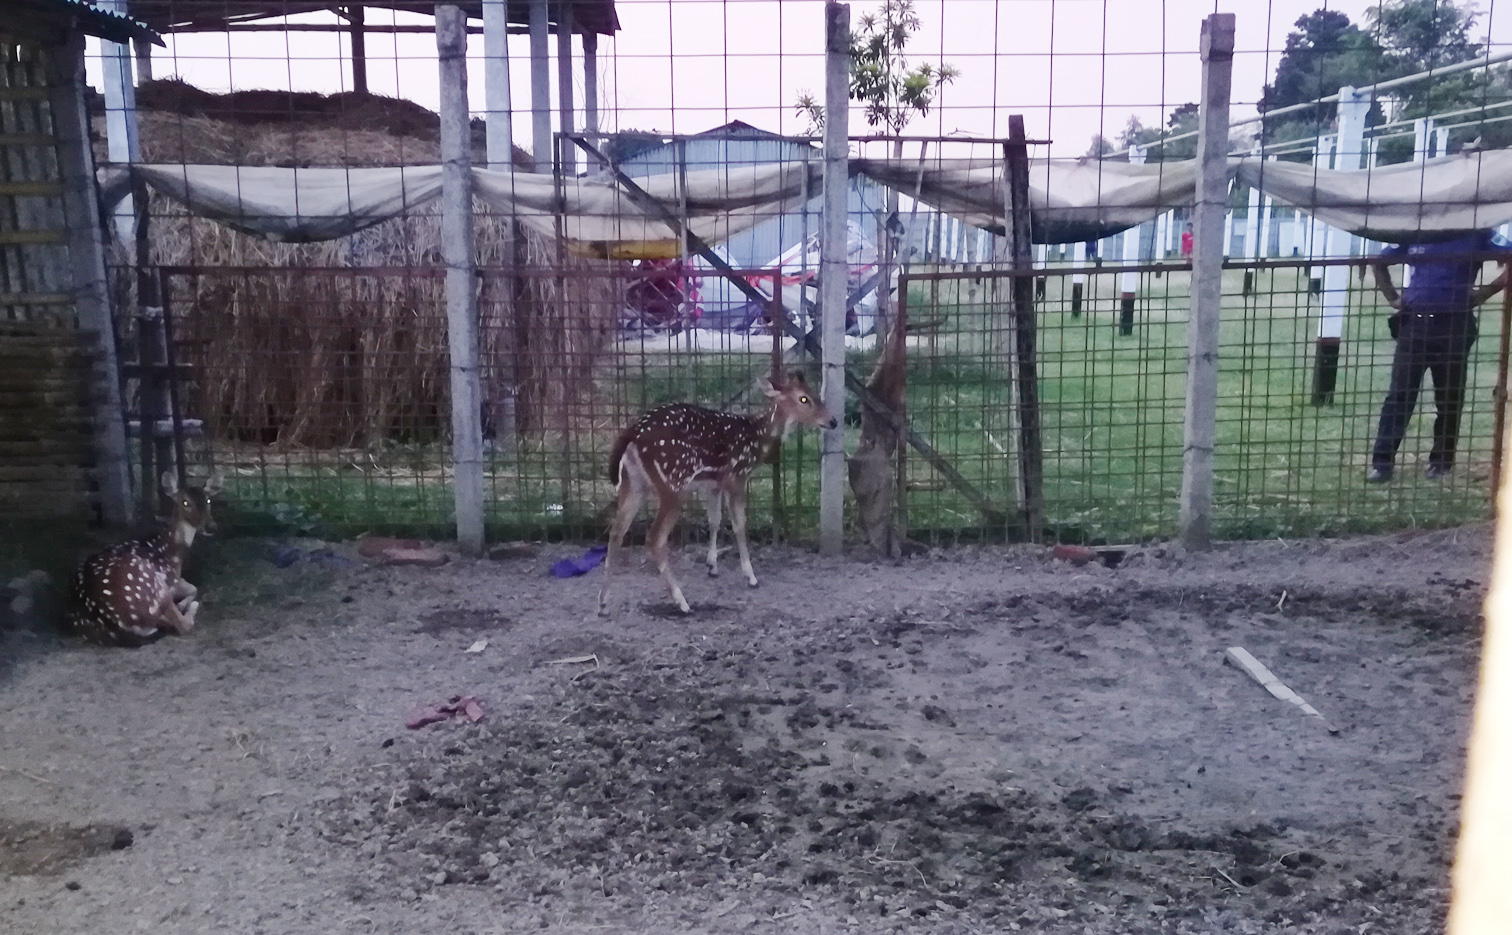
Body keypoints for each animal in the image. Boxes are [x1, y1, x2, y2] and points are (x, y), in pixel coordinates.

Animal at [67, 469, 220, 644]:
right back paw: (190, 607)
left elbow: (193, 587)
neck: (169, 551)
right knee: (182, 625)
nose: (211, 526)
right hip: (152, 586)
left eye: (208, 500)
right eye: (185, 502)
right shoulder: (169, 578)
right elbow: (193, 588)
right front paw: (183, 604)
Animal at [598, 367, 840, 614]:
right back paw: (682, 602)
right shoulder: (737, 476)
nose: (833, 421)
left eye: (817, 394)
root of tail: (632, 433)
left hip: (633, 482)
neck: (757, 439)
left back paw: (603, 602)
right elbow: (739, 525)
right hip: (673, 482)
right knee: (654, 537)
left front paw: (712, 566)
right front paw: (750, 576)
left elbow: (714, 520)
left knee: (616, 531)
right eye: (804, 398)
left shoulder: (713, 483)